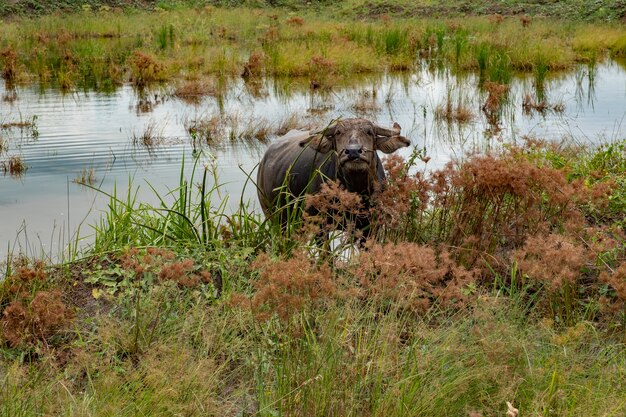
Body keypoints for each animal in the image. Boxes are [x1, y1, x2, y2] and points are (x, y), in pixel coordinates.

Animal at [255, 118, 410, 231]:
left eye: (369, 132)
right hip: (274, 217)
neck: (355, 190)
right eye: (338, 133)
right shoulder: (318, 224)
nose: (353, 151)